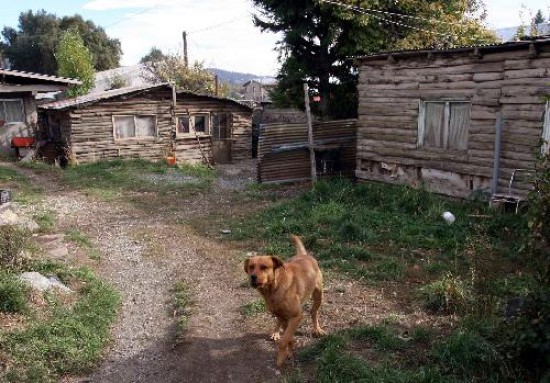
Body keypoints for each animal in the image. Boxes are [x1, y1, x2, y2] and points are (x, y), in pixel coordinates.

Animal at [244, 236, 326, 368]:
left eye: (264, 267)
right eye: (251, 267)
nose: (252, 277)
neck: (273, 290)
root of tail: (304, 255)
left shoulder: (296, 316)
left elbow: (285, 340)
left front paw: (281, 358)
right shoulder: (283, 317)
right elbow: (288, 337)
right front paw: (289, 351)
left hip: (318, 295)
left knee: (314, 312)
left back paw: (317, 329)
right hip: (279, 313)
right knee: (278, 320)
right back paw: (275, 332)